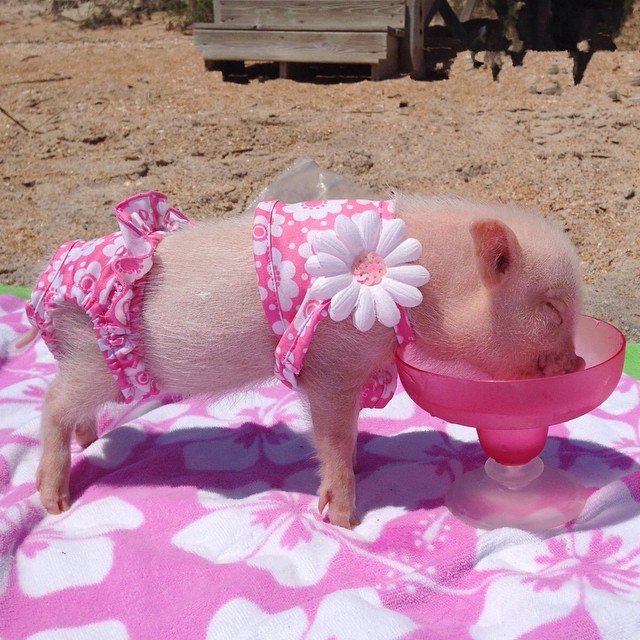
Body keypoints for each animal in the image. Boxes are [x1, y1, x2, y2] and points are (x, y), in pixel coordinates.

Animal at [20, 192, 583, 528]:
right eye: (552, 308)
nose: (577, 365)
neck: (425, 285)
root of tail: (48, 281)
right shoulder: (330, 362)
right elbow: (331, 435)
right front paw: (345, 519)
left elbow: (349, 432)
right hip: (98, 361)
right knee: (51, 402)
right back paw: (55, 502)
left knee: (74, 410)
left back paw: (91, 442)